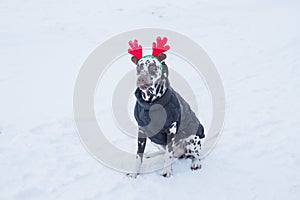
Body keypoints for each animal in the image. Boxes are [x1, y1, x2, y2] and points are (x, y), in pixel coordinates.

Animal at [126, 36, 204, 177]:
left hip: (192, 137)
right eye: (139, 68)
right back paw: (152, 154)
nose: (141, 79)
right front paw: (134, 173)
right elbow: (138, 156)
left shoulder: (171, 129)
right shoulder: (142, 130)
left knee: (196, 154)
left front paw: (167, 171)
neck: (150, 103)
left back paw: (196, 162)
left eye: (152, 67)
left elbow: (168, 153)